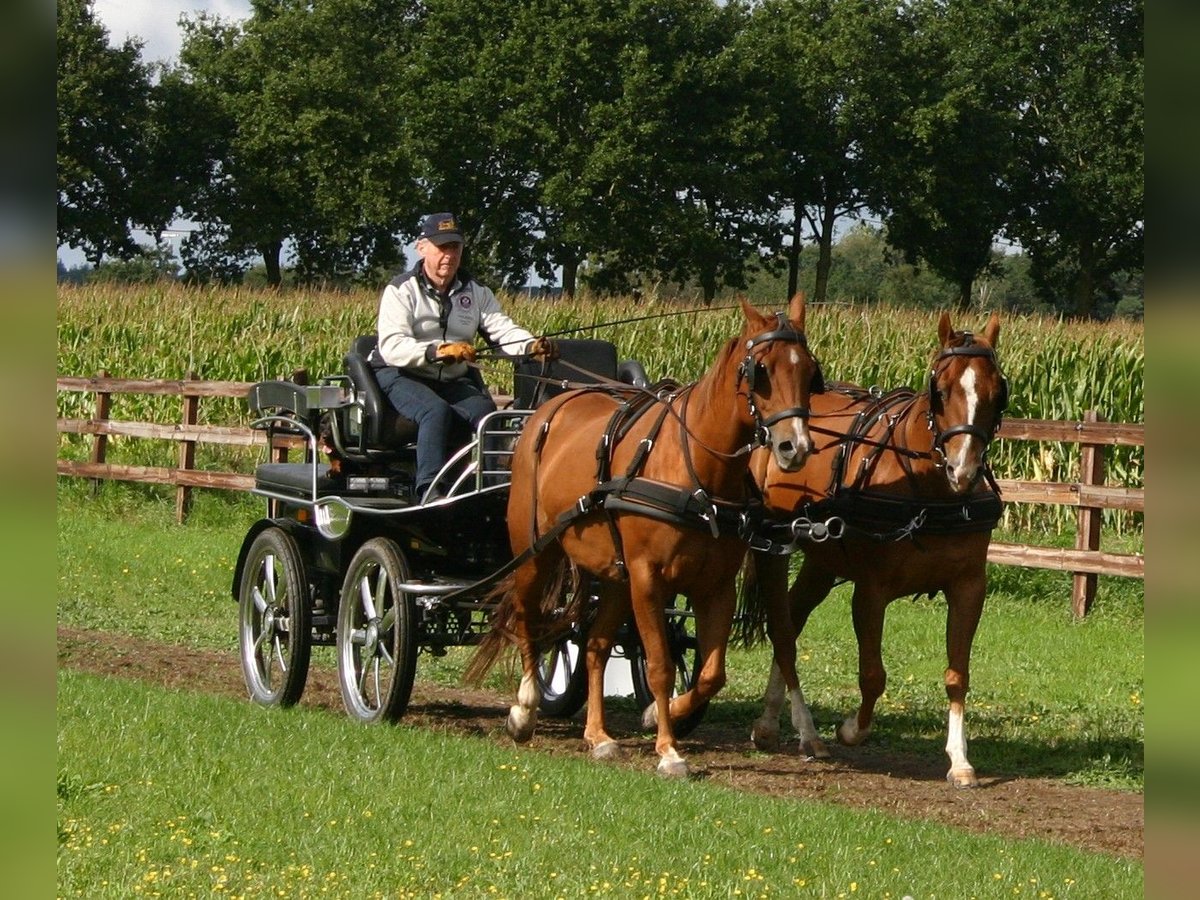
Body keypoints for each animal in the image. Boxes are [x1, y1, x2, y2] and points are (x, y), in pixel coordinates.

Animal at [466, 293, 823, 777]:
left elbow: (711, 673)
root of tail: (549, 406)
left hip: (615, 578)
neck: (696, 471)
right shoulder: (649, 579)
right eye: (761, 370)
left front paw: (659, 713)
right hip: (536, 553)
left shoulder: (713, 586)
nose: (795, 447)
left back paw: (598, 736)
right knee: (528, 620)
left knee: (595, 646)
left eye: (809, 371)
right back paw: (524, 710)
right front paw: (669, 750)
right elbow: (659, 666)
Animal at [742, 311, 1006, 787]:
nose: (963, 469)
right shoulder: (870, 592)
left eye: (998, 394)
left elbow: (957, 674)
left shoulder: (969, 587)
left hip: (821, 562)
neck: (927, 491)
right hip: (772, 547)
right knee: (782, 628)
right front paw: (851, 729)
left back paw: (771, 723)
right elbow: (872, 675)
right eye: (941, 391)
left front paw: (959, 760)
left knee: (792, 617)